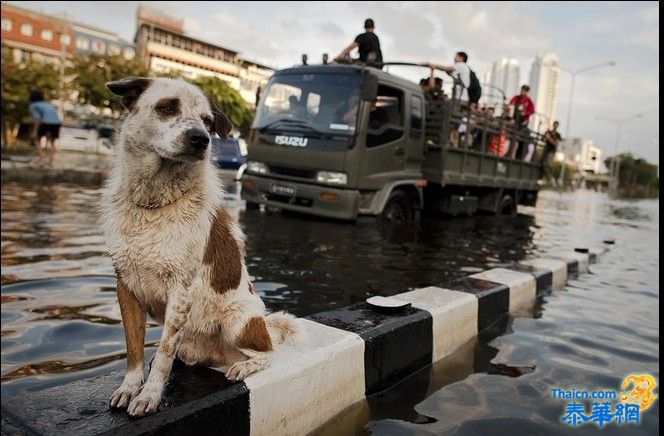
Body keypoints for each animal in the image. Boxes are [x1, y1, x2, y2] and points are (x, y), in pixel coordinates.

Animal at [101, 76, 298, 418]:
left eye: (207, 121)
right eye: (167, 107)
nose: (200, 139)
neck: (153, 204)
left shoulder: (180, 291)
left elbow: (164, 353)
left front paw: (149, 395)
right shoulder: (125, 286)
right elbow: (134, 349)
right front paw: (129, 388)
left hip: (238, 322)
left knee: (268, 352)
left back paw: (244, 367)